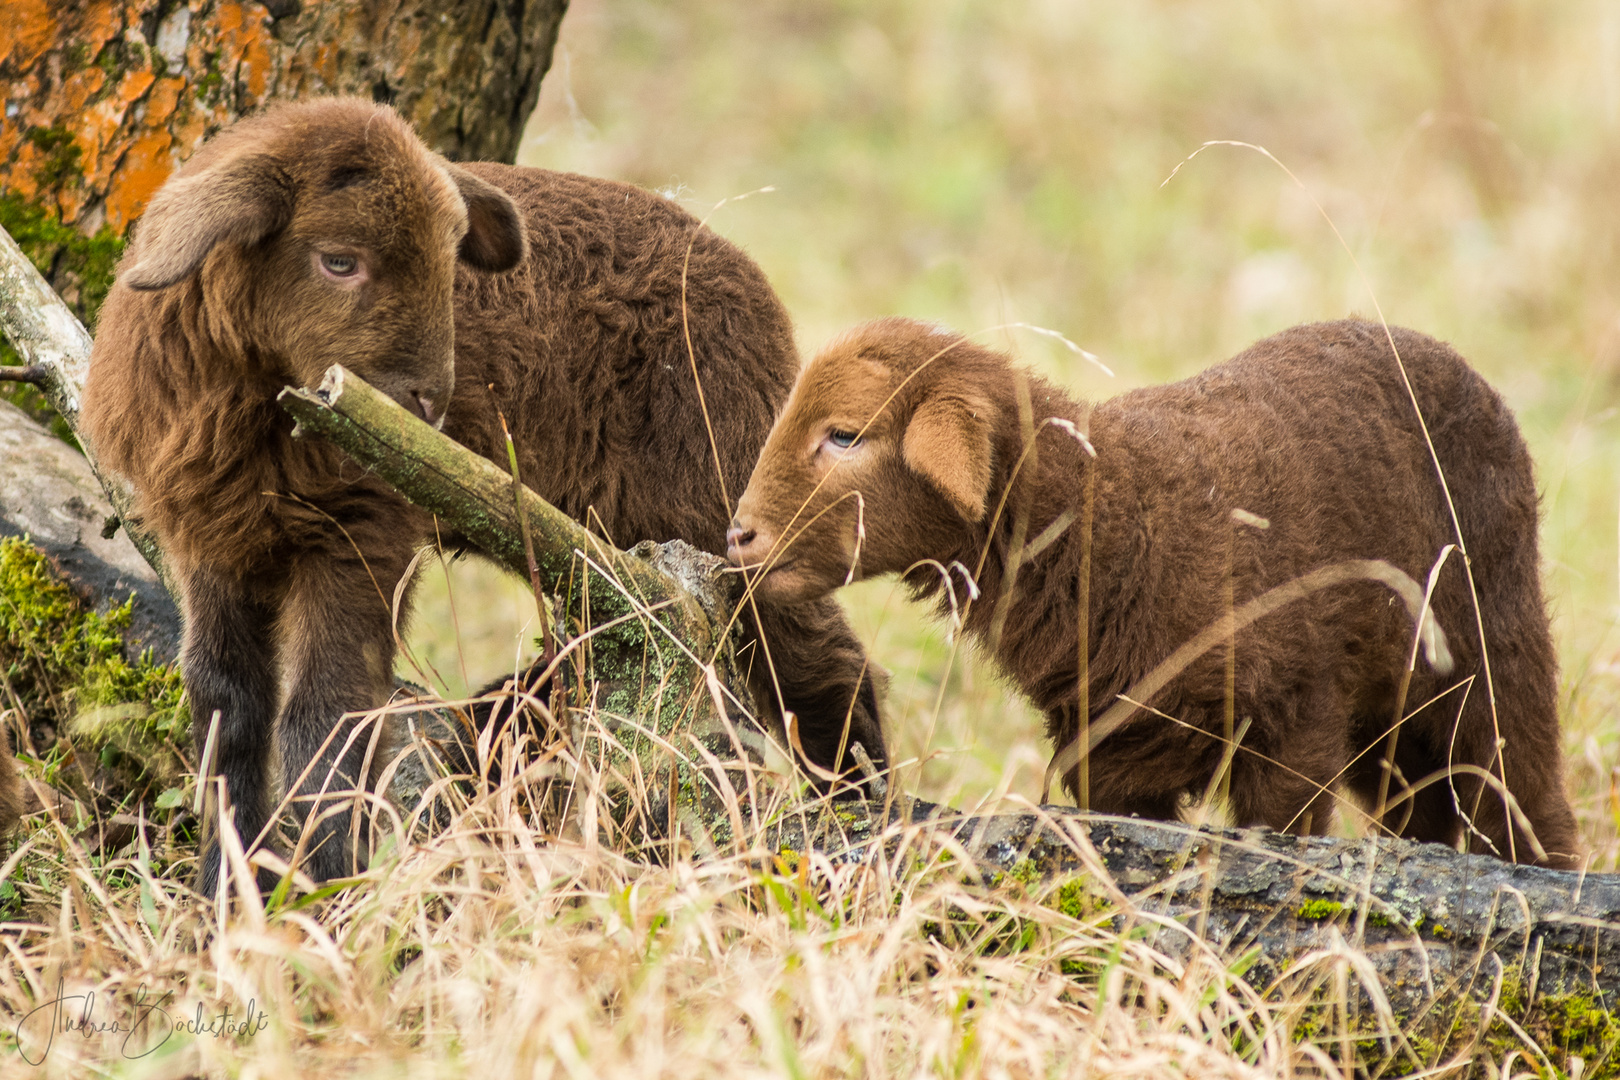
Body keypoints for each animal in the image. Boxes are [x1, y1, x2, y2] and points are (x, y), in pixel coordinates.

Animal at [82, 97, 881, 893]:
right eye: (338, 260)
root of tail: (743, 270)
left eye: (448, 265)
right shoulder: (210, 540)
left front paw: (327, 887)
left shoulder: (361, 534)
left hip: (716, 485)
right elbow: (227, 705)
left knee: (823, 662)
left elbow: (325, 711)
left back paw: (862, 819)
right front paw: (228, 890)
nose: (425, 405)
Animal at [725, 314, 1581, 867]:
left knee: (1521, 788)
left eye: (844, 434)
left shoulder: (1295, 717)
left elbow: (1286, 831)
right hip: (1389, 706)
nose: (739, 537)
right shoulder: (1114, 750)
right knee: (1426, 803)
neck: (1118, 514)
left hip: (1491, 641)